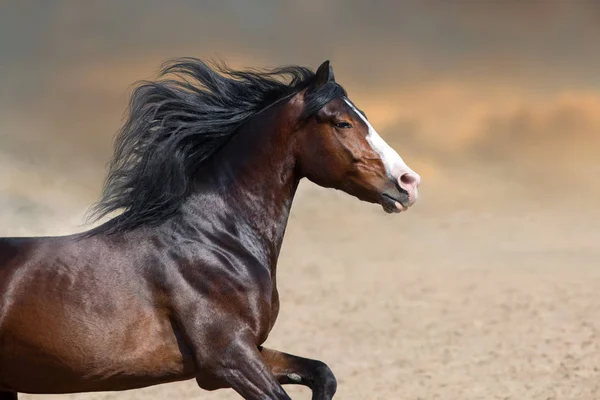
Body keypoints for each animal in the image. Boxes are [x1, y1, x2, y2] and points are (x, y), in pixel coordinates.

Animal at [0, 57, 422, 398]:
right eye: (341, 122)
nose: (408, 182)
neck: (216, 240)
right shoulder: (228, 358)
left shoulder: (251, 350)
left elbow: (324, 374)